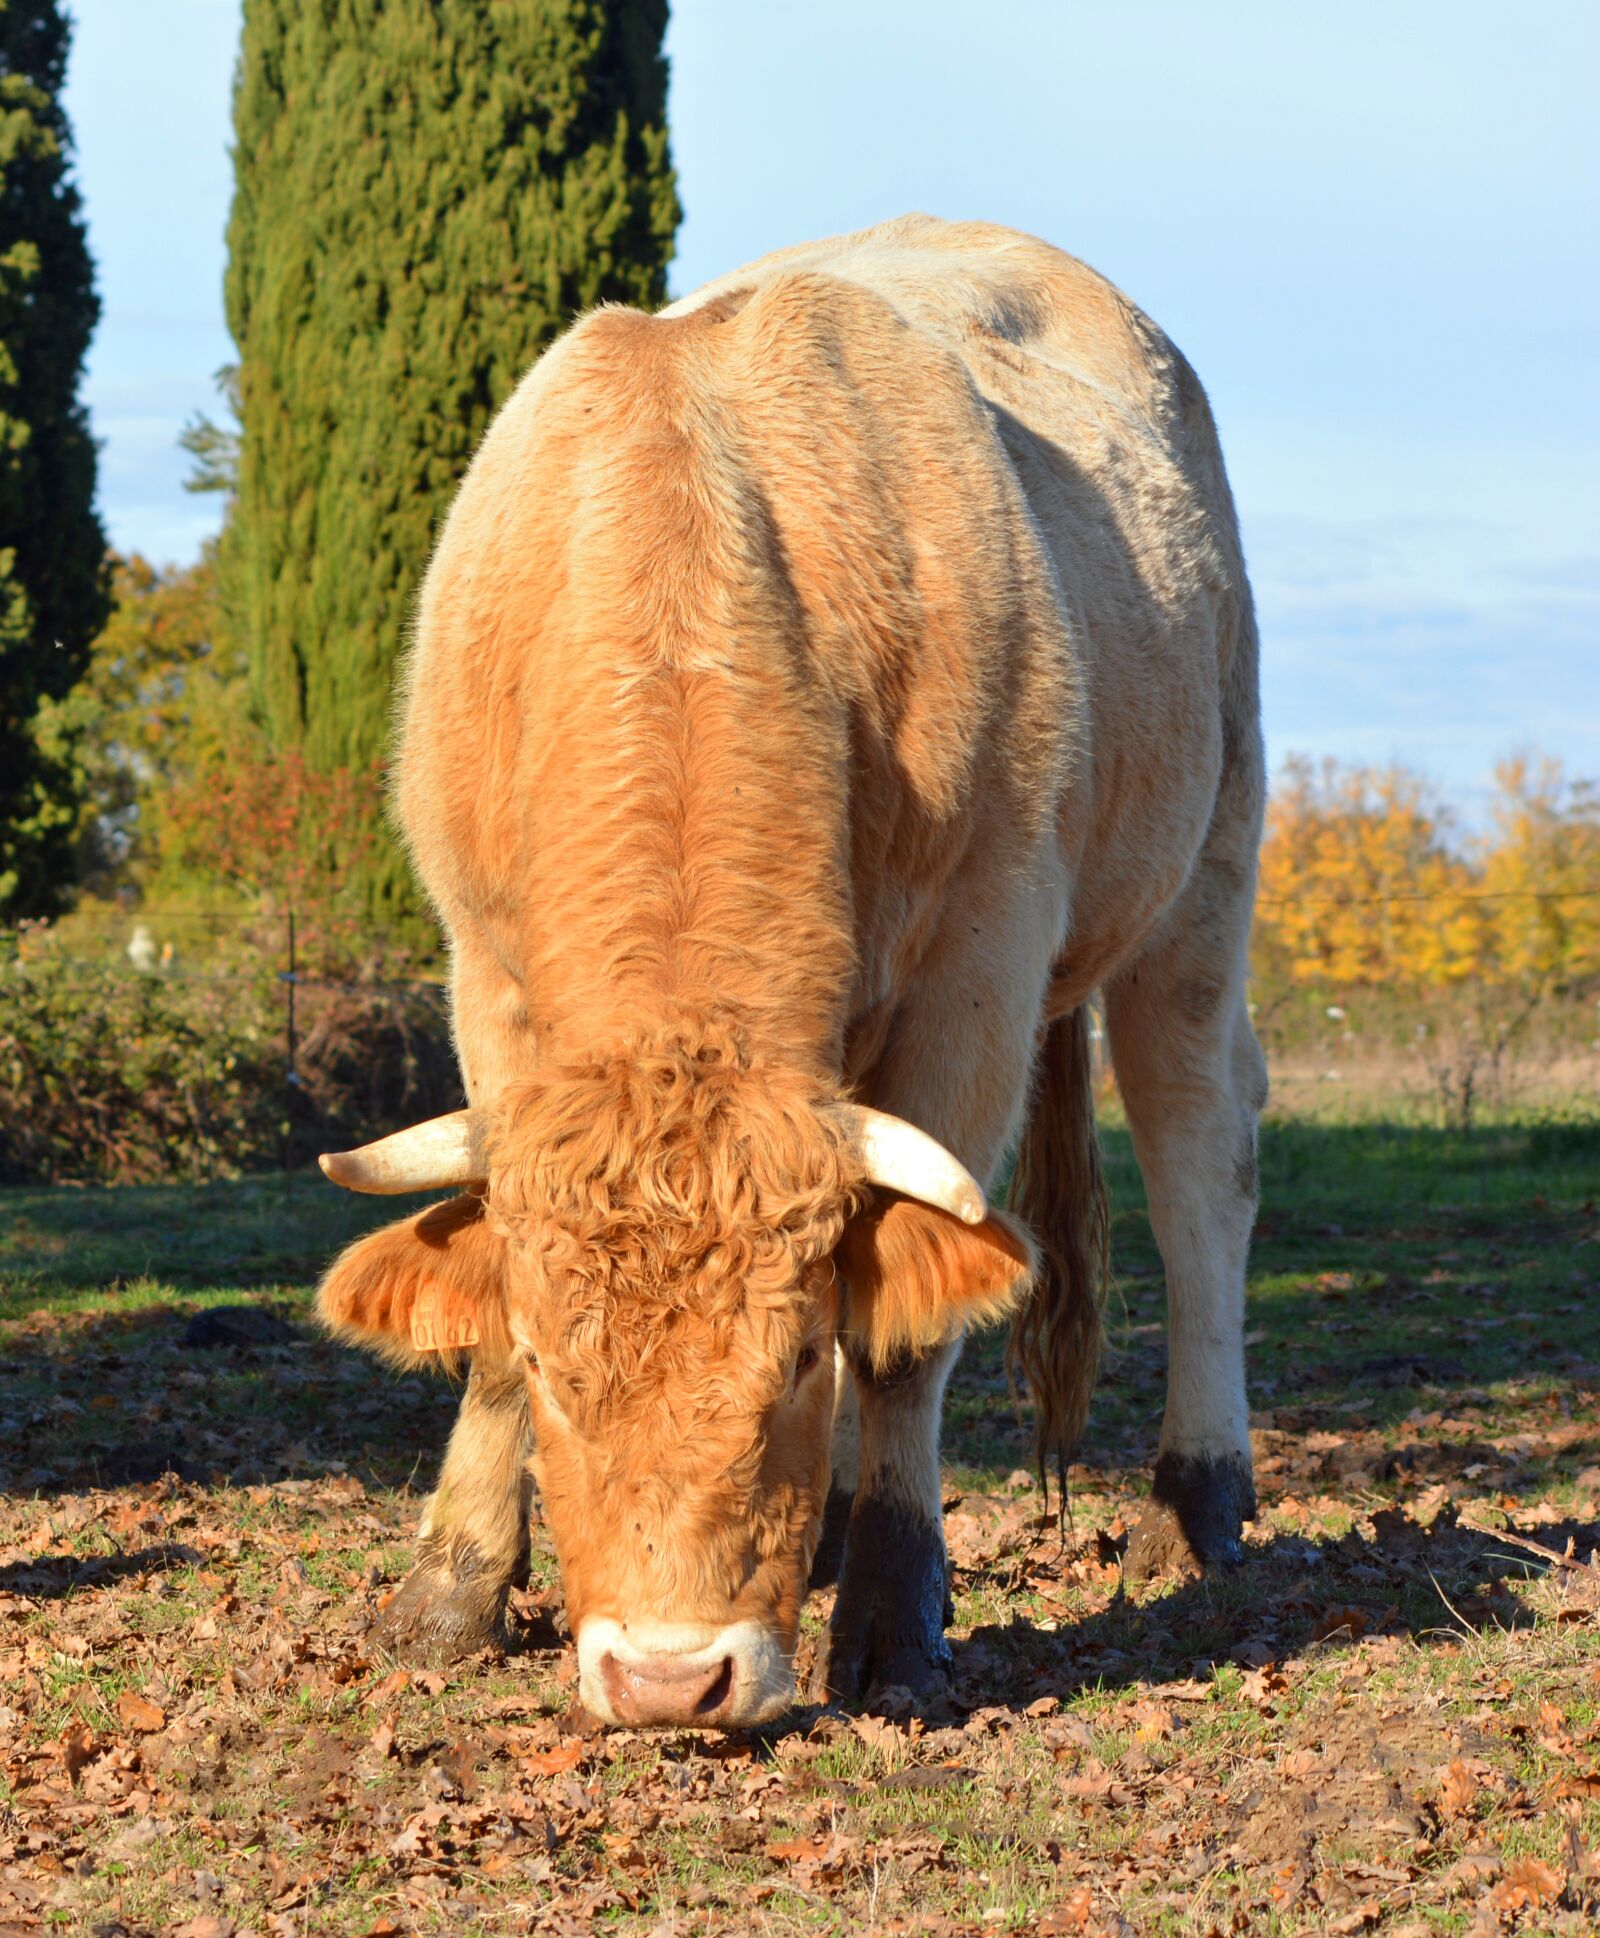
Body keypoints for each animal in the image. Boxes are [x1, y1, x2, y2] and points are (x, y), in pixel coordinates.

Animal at [315, 216, 1267, 1729]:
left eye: (801, 1355)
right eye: (557, 1370)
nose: (666, 1676)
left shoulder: (979, 973)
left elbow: (909, 1330)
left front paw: (895, 1607)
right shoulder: (487, 977)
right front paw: (454, 1583)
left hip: (1201, 877)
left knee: (1199, 1161)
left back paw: (1197, 1496)